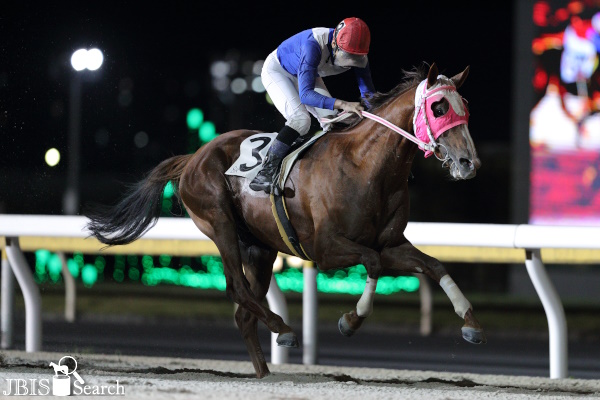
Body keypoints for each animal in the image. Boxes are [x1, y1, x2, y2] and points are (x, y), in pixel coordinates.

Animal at [88, 62, 482, 378]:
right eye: (439, 107)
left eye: (465, 108)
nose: (469, 163)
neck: (367, 165)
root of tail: (193, 157)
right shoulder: (326, 248)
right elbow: (372, 264)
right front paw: (350, 320)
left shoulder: (390, 245)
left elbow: (435, 265)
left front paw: (471, 323)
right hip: (220, 223)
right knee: (238, 289)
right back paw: (285, 329)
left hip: (260, 248)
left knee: (244, 313)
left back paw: (265, 373)